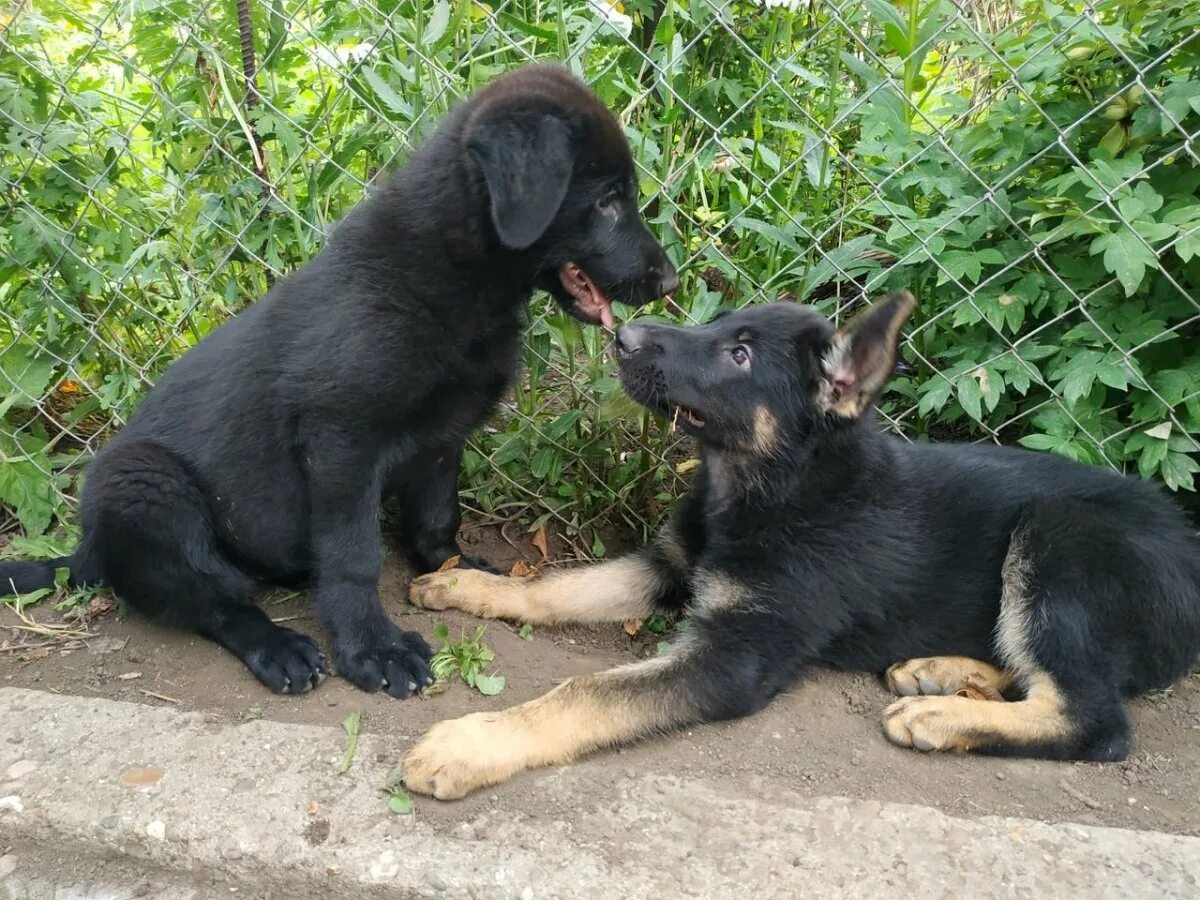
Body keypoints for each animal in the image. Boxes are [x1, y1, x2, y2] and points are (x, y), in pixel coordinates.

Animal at [0, 65, 676, 696]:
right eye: (610, 199)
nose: (669, 282)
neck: (453, 278)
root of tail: (87, 551)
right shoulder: (342, 443)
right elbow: (354, 557)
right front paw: (373, 648)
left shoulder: (442, 437)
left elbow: (438, 518)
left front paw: (456, 574)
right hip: (144, 488)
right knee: (216, 603)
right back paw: (279, 647)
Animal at [400, 292, 1200, 801]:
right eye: (723, 325)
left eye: (740, 355)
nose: (620, 336)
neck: (772, 488)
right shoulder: (670, 566)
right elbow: (556, 587)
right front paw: (469, 584)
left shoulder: (738, 654)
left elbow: (586, 692)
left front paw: (473, 744)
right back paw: (942, 673)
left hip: (1061, 535)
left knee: (1095, 718)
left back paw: (943, 716)